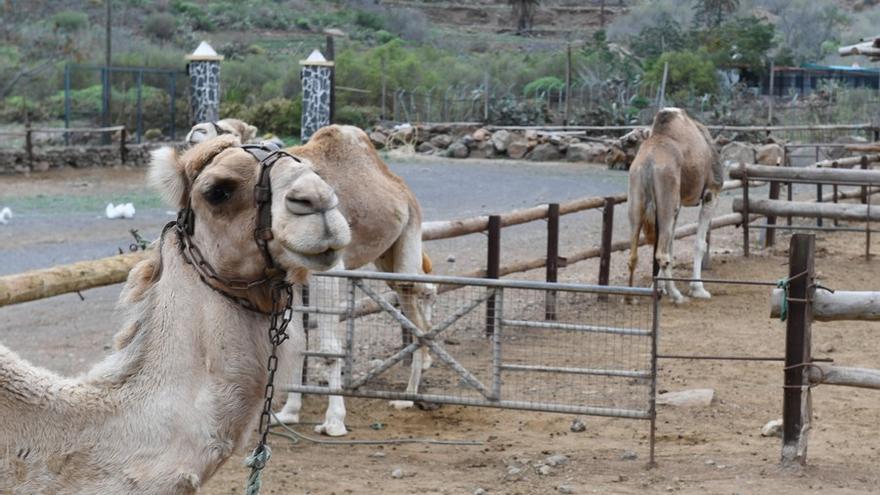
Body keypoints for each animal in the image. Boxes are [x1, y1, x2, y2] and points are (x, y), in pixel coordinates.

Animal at [624, 107, 720, 302]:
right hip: (668, 202)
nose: (622, 142)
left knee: (634, 253)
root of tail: (649, 162)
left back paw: (630, 298)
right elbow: (699, 243)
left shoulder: (678, 204)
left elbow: (670, 243)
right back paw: (677, 296)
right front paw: (698, 289)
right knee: (661, 253)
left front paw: (658, 287)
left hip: (639, 199)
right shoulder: (711, 193)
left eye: (633, 138)